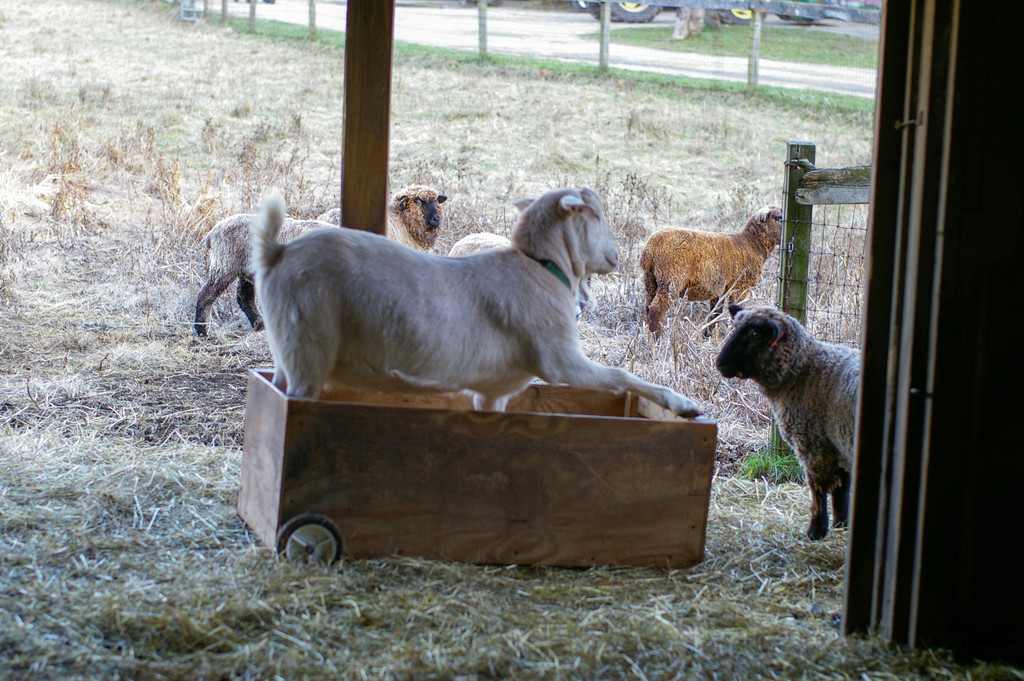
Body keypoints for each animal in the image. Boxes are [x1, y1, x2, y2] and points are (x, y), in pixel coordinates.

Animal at [193, 184, 446, 335]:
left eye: (436, 201)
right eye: (419, 201)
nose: (436, 219)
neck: (399, 224)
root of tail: (212, 232)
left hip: (246, 271)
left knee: (244, 298)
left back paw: (260, 326)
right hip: (224, 266)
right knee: (206, 295)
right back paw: (202, 331)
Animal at [252, 188, 704, 417]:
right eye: (594, 216)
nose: (616, 257)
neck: (540, 269)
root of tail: (277, 252)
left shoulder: (493, 390)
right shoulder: (560, 359)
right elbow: (623, 376)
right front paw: (683, 404)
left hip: (288, 352)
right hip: (309, 346)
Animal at [638, 205, 782, 335]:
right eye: (779, 217)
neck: (751, 244)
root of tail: (650, 249)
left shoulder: (721, 289)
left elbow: (715, 313)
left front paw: (708, 334)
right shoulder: (740, 287)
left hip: (650, 280)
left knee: (648, 307)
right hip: (670, 279)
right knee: (657, 309)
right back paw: (657, 339)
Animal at [716, 305, 860, 540]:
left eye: (755, 334)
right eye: (736, 328)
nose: (720, 363)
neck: (805, 369)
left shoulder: (814, 444)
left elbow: (818, 489)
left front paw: (816, 530)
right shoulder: (836, 442)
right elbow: (841, 488)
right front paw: (842, 524)